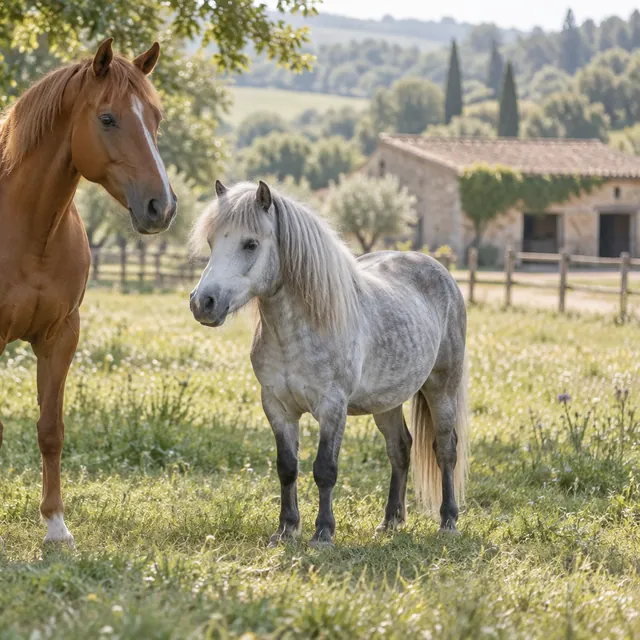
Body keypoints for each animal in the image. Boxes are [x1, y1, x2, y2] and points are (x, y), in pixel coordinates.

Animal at [0, 39, 176, 547]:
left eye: (155, 117)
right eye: (108, 118)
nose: (162, 207)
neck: (30, 229)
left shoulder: (61, 335)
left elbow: (51, 430)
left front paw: (56, 526)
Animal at [189, 180, 468, 546]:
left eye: (250, 244)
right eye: (211, 242)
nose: (202, 303)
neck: (301, 328)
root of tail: (440, 271)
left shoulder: (332, 407)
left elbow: (325, 469)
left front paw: (323, 532)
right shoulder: (277, 406)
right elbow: (287, 466)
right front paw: (286, 528)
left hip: (442, 388)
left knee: (445, 449)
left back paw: (448, 520)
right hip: (387, 402)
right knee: (400, 449)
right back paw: (390, 521)